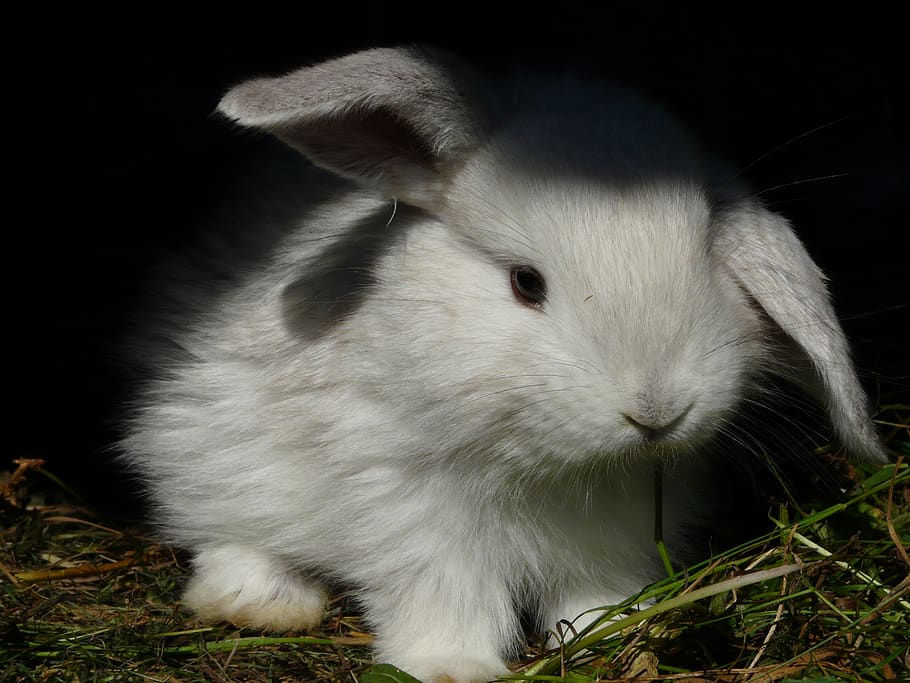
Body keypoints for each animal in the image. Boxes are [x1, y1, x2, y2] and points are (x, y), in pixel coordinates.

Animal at [120, 47, 887, 683]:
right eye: (526, 282)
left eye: (705, 260)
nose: (657, 410)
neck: (550, 460)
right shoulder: (413, 509)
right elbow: (441, 596)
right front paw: (450, 669)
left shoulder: (615, 531)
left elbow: (595, 592)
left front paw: (618, 633)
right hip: (205, 450)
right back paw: (261, 600)